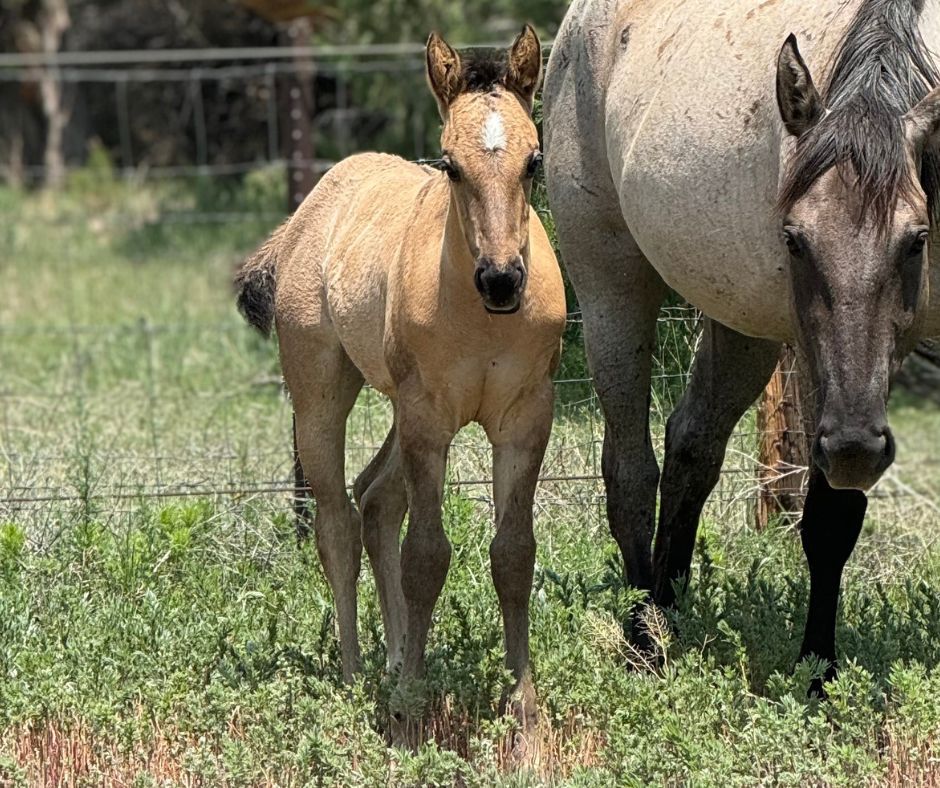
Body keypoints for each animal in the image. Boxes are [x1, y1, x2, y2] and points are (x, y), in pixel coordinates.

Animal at [235, 26, 566, 729]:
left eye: (534, 161)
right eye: (450, 164)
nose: (502, 279)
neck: (481, 318)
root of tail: (308, 212)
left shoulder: (525, 417)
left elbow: (513, 553)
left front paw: (524, 709)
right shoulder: (429, 418)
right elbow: (427, 556)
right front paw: (412, 706)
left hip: (394, 408)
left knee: (375, 499)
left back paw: (390, 658)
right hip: (322, 396)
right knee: (336, 520)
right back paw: (358, 672)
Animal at [543, 0, 940, 687]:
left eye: (916, 239)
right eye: (795, 240)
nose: (857, 450)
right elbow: (829, 520)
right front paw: (817, 674)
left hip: (740, 323)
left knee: (691, 447)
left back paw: (666, 614)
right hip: (611, 288)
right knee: (630, 470)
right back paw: (643, 637)